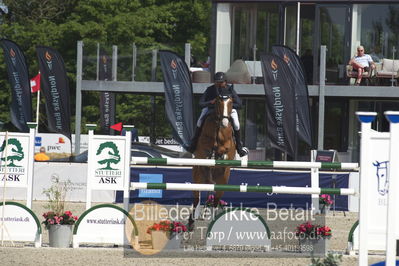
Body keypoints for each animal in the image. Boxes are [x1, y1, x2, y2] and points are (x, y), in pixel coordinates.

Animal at [188, 92, 236, 230]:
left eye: (231, 102)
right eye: (219, 102)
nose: (225, 122)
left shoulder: (228, 146)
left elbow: (225, 150)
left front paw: (220, 156)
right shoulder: (203, 148)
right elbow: (207, 149)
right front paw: (212, 154)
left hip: (223, 180)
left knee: (215, 201)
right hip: (197, 175)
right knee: (196, 198)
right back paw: (192, 221)